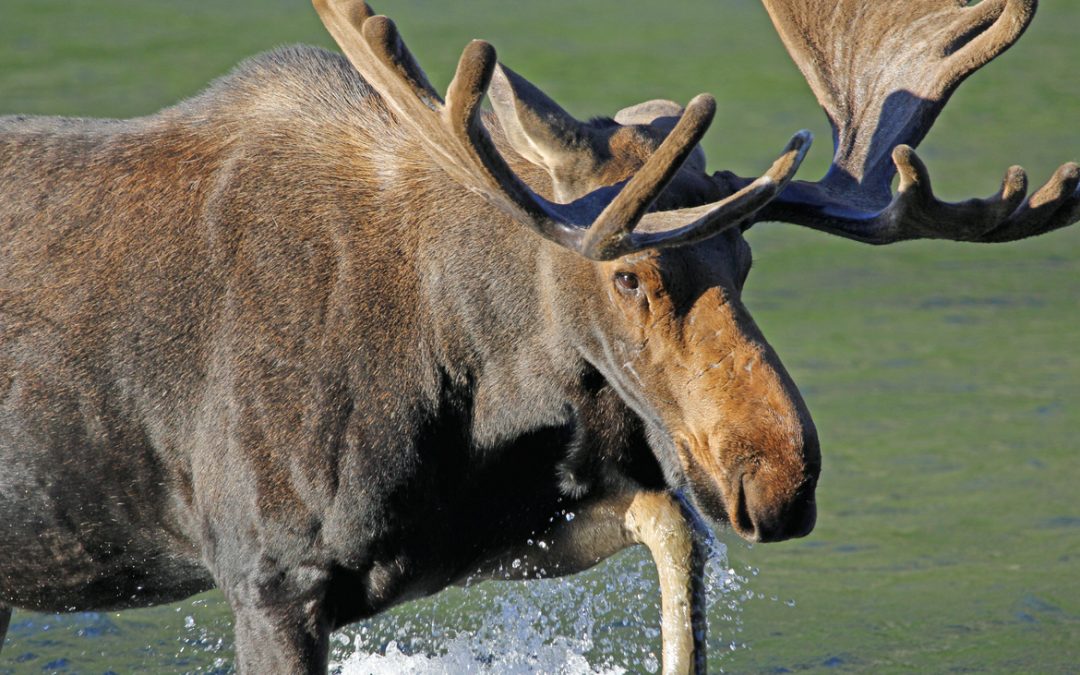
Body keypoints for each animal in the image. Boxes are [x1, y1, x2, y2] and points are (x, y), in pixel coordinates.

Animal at [1, 0, 1076, 673]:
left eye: (746, 261)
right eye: (630, 273)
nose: (778, 475)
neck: (469, 377)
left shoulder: (496, 532)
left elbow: (674, 536)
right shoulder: (269, 577)